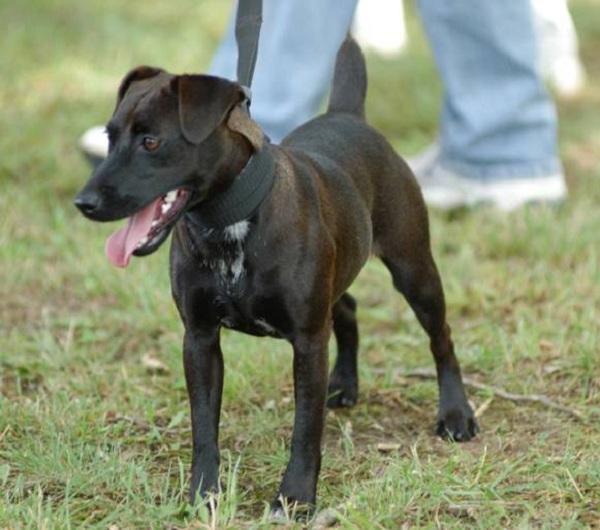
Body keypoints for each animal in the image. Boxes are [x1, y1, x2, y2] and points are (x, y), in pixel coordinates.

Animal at [75, 38, 478, 516]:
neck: (230, 221)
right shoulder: (200, 338)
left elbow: (305, 430)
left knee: (441, 338)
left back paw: (455, 413)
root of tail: (349, 115)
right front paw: (204, 494)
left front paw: (295, 497)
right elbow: (203, 427)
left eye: (151, 141)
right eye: (109, 137)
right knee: (348, 308)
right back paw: (344, 384)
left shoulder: (307, 341)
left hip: (413, 268)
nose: (83, 202)